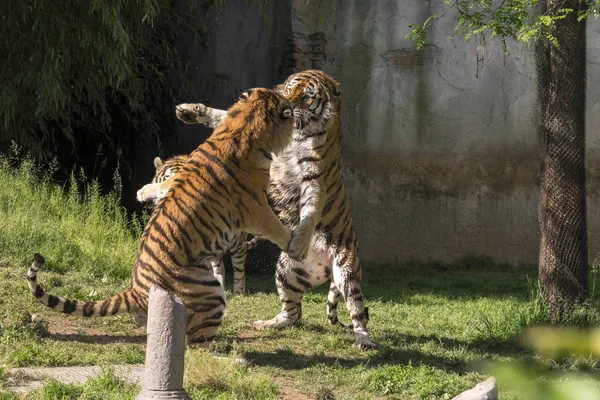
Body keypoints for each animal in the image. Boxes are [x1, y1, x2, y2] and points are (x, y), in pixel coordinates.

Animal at [172, 70, 376, 348]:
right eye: (289, 90)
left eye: (307, 97)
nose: (288, 106)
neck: (299, 134)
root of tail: (325, 265)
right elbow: (221, 115)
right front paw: (189, 110)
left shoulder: (314, 177)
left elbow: (310, 211)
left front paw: (301, 238)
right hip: (288, 272)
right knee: (294, 311)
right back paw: (269, 324)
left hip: (347, 271)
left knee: (356, 310)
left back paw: (363, 339)